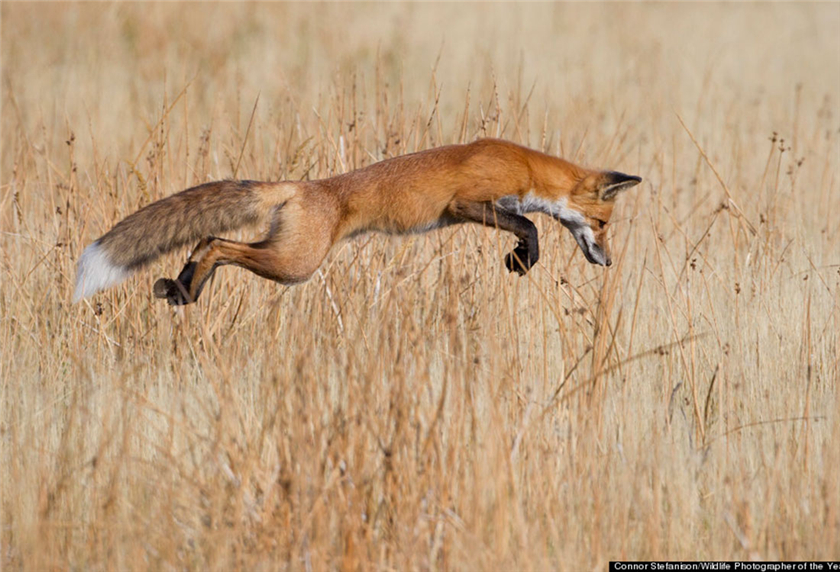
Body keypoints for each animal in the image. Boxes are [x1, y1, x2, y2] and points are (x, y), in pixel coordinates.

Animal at [75, 137, 644, 304]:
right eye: (604, 224)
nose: (609, 262)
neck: (524, 165)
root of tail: (303, 186)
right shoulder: (465, 204)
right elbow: (531, 226)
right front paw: (522, 260)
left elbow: (530, 225)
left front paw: (521, 261)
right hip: (295, 264)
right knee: (215, 242)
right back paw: (187, 289)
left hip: (283, 253)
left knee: (207, 240)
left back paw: (182, 289)